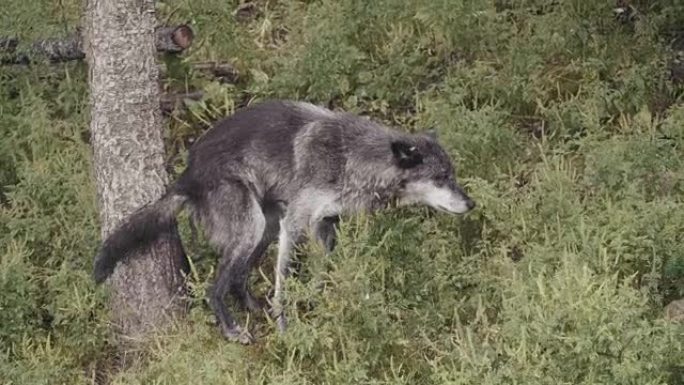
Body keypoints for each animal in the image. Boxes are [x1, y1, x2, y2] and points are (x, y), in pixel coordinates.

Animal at [92, 98, 476, 342]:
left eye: (453, 175)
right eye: (441, 178)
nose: (471, 203)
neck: (352, 157)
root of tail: (186, 176)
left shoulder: (324, 226)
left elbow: (323, 274)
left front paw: (324, 304)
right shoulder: (296, 223)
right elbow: (284, 287)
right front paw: (286, 328)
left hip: (266, 226)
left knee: (238, 277)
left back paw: (251, 307)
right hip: (255, 227)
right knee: (215, 287)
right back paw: (232, 330)